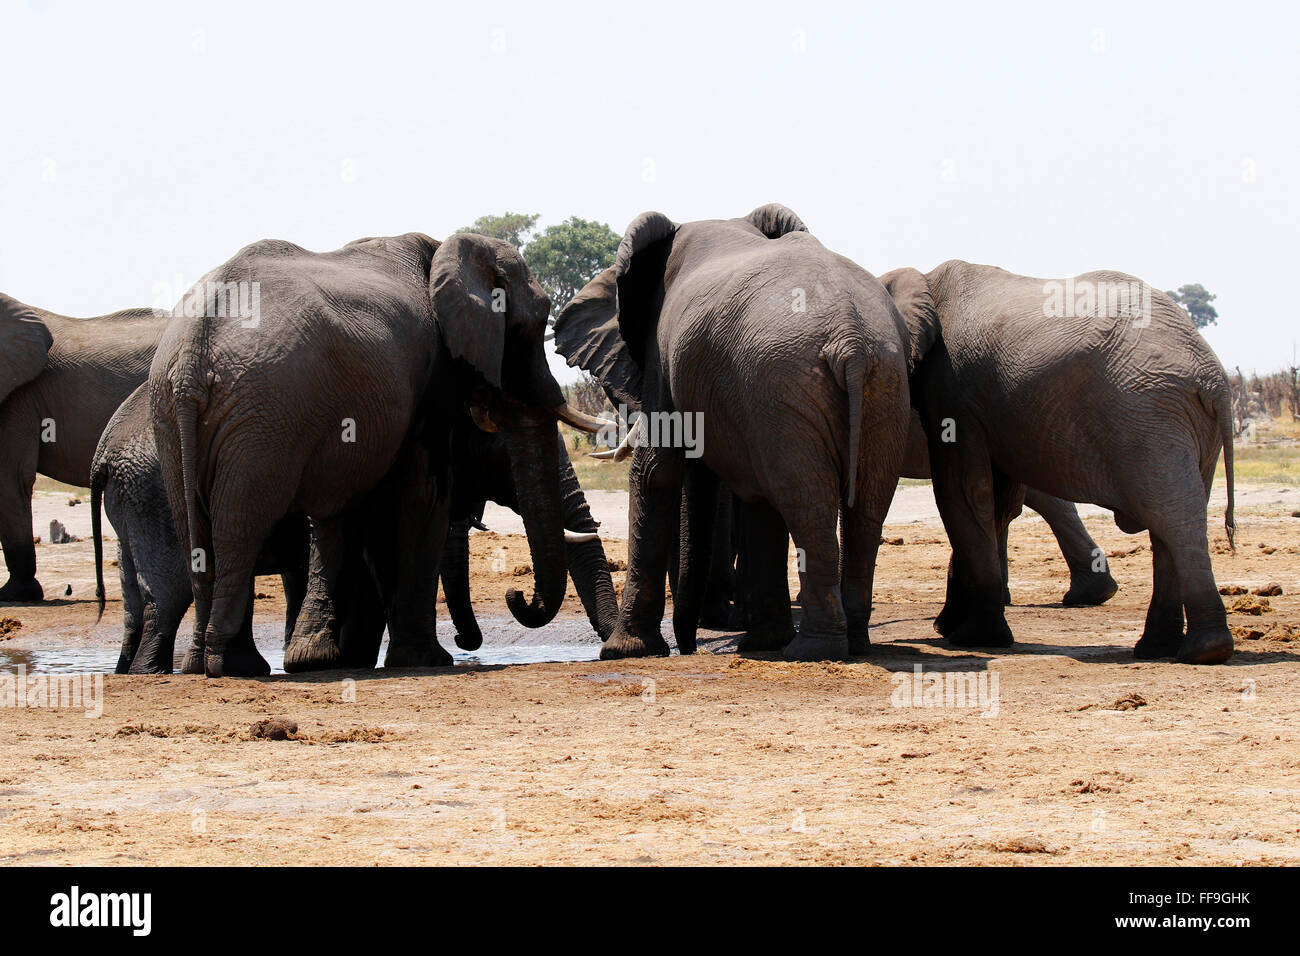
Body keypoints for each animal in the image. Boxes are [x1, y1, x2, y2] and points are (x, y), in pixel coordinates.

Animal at [91, 384, 310, 674]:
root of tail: (103, 454)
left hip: (130, 498)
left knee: (133, 597)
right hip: (157, 496)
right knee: (170, 591)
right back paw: (155, 671)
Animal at [149, 232, 607, 677]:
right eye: (531, 326)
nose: (517, 594)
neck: (449, 250)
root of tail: (192, 355)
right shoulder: (432, 378)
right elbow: (424, 500)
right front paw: (425, 660)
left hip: (175, 414)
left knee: (195, 528)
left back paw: (207, 665)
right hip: (263, 412)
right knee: (242, 525)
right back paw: (236, 666)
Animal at [554, 204, 911, 662]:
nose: (688, 648)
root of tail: (849, 340)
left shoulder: (664, 354)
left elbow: (655, 472)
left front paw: (625, 651)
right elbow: (753, 494)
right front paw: (762, 642)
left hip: (786, 383)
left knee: (806, 500)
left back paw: (812, 649)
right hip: (884, 383)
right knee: (865, 505)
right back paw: (851, 642)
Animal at [880, 261, 1236, 664]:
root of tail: (1213, 379)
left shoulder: (953, 386)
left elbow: (963, 492)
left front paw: (972, 636)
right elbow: (995, 502)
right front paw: (958, 628)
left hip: (1148, 414)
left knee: (1169, 513)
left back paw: (1201, 649)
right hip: (1181, 423)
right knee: (1174, 517)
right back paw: (1160, 647)